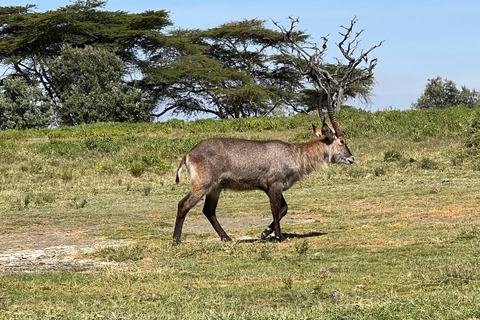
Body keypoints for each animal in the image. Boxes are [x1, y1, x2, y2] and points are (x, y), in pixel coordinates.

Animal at [172, 110, 352, 245]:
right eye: (342, 141)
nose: (352, 158)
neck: (293, 154)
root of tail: (189, 153)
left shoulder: (275, 188)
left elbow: (284, 209)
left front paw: (265, 233)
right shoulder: (274, 186)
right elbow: (275, 210)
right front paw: (280, 237)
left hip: (215, 188)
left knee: (208, 211)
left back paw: (226, 238)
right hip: (203, 185)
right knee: (183, 204)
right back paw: (176, 240)